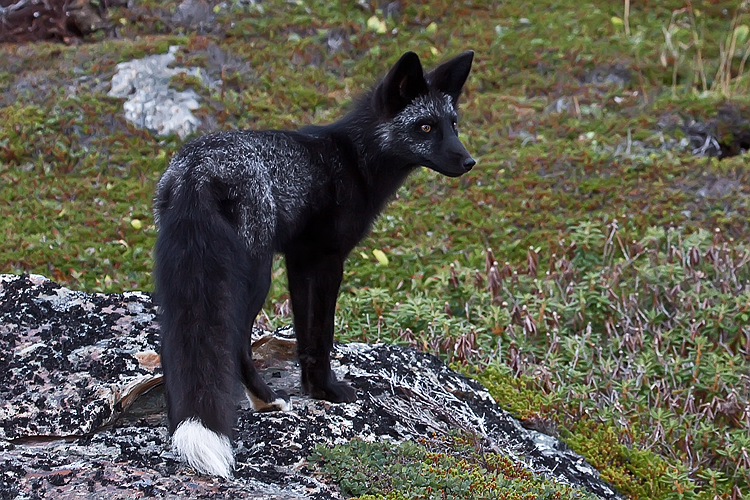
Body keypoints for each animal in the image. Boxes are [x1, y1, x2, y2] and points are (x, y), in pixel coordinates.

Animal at [153, 49, 476, 476]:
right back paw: (267, 399)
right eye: (425, 127)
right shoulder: (327, 259)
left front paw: (312, 388)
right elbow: (322, 334)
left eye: (452, 124)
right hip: (254, 275)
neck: (354, 161)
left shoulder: (300, 259)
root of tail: (198, 170)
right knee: (236, 342)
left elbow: (305, 335)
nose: (469, 161)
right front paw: (329, 389)